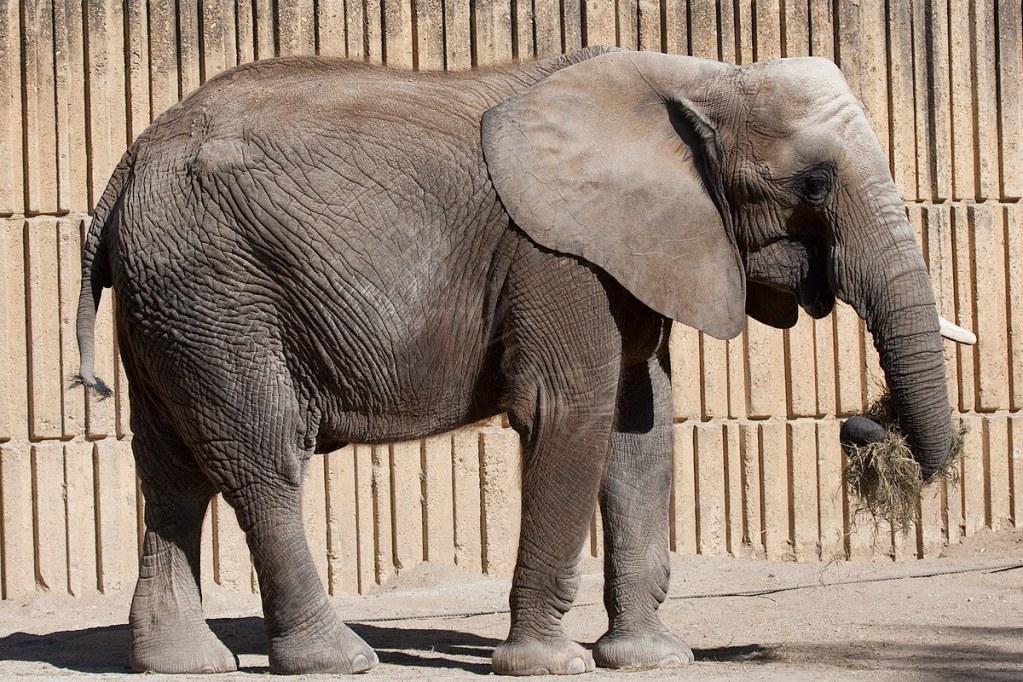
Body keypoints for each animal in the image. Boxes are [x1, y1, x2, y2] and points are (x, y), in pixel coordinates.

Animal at [75, 45, 974, 675]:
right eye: (816, 184)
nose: (862, 426)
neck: (698, 79)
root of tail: (123, 166)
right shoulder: (553, 252)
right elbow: (568, 413)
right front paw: (549, 666)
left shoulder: (626, 250)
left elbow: (638, 428)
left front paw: (651, 661)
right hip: (214, 286)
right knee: (262, 460)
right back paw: (337, 661)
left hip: (171, 299)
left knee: (172, 473)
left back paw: (182, 665)